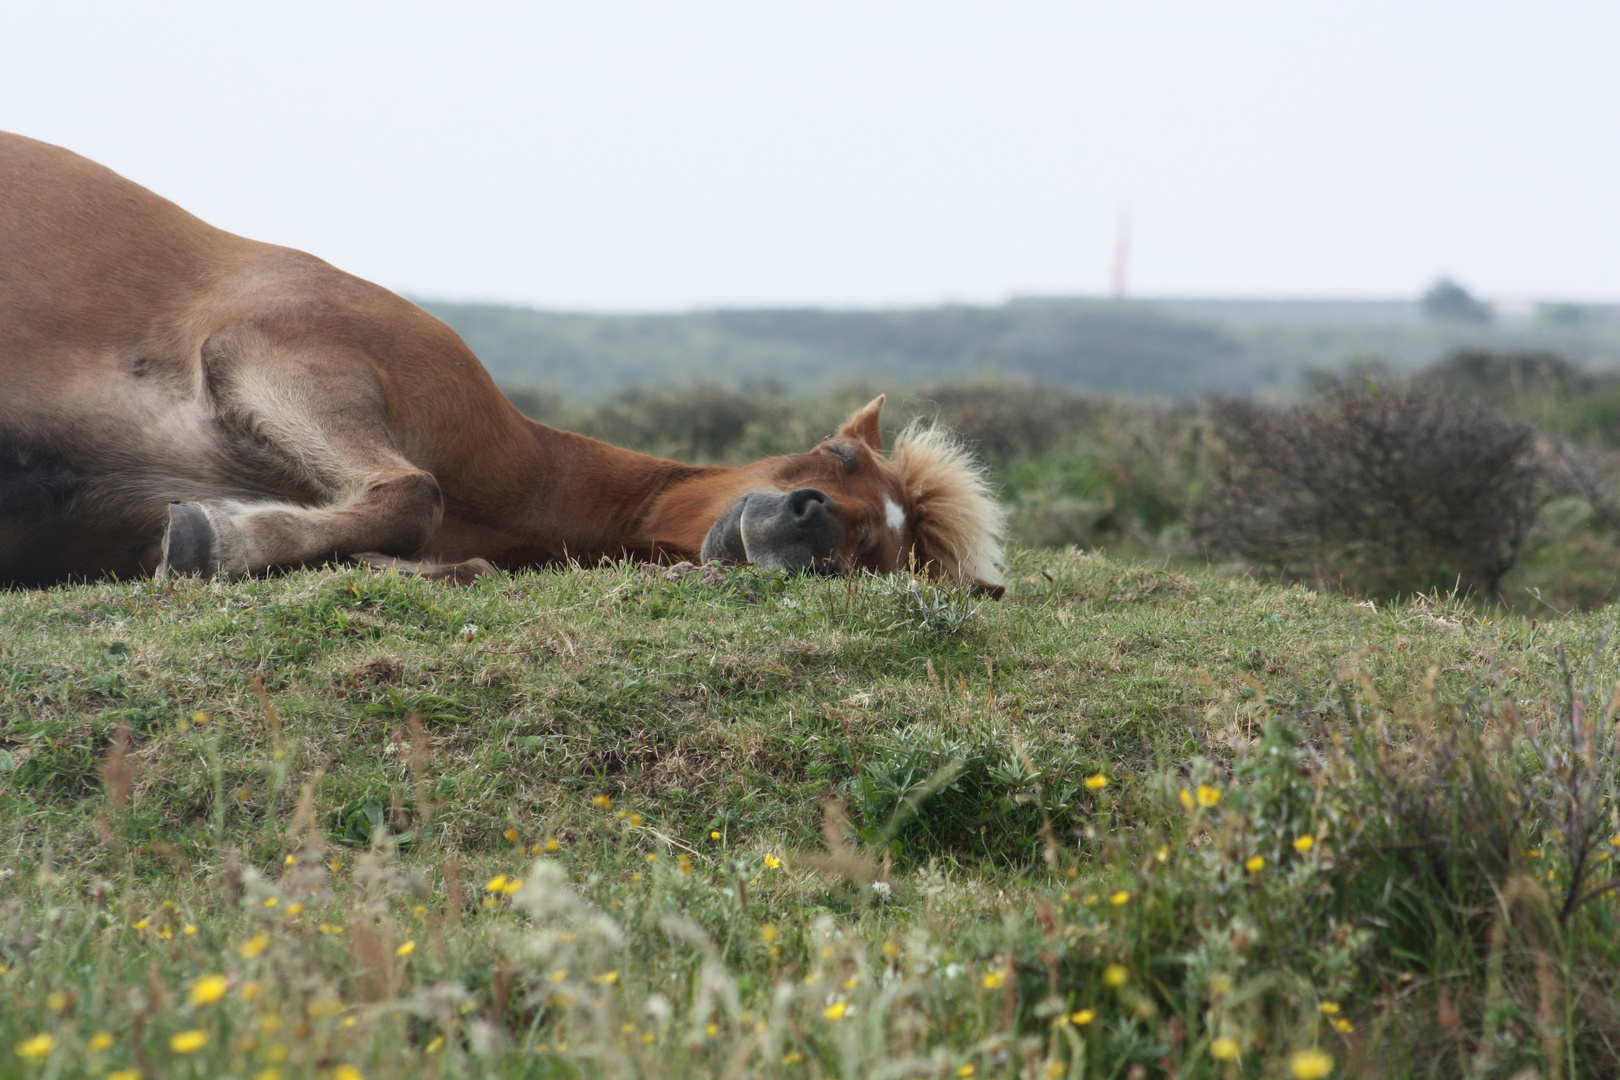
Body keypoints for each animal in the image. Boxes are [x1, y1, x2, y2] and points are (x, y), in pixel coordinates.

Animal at [0, 132, 1004, 599]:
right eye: (835, 457)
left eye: (878, 555)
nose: (808, 520)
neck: (522, 477)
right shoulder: (273, 354)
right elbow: (413, 491)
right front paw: (223, 537)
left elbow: (437, 541)